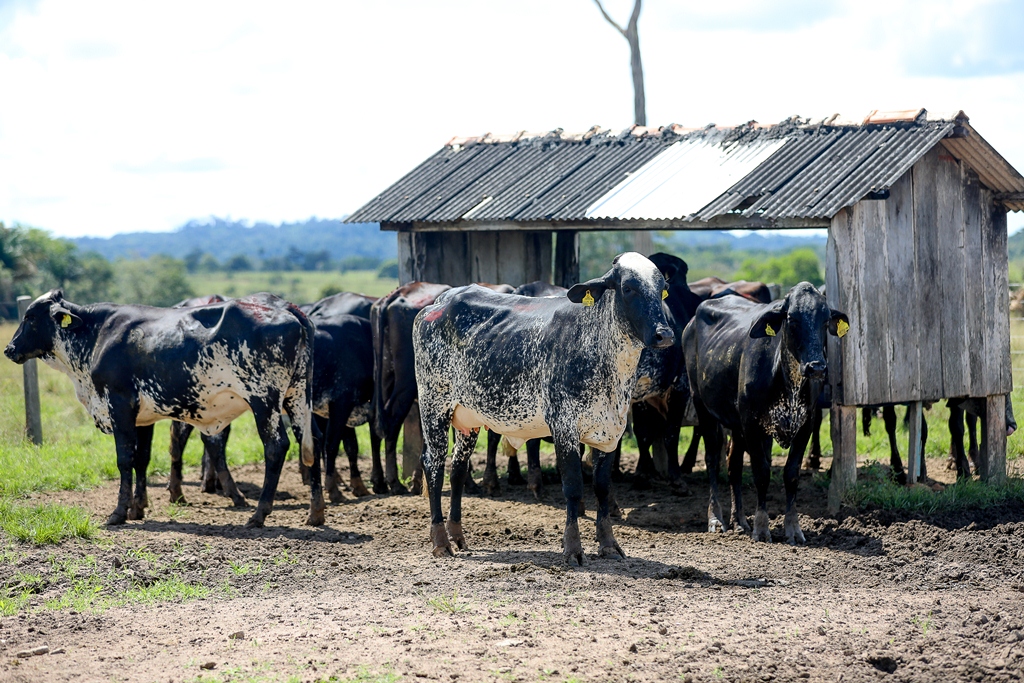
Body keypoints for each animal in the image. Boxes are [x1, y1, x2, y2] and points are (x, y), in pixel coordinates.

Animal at [4, 288, 319, 528]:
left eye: (30, 317)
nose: (9, 349)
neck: (95, 334)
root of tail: (288, 308)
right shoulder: (142, 416)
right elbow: (141, 459)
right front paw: (137, 507)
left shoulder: (119, 405)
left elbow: (124, 460)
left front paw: (119, 513)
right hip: (297, 397)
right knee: (311, 441)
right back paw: (316, 513)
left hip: (264, 400)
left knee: (276, 447)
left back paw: (258, 514)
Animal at [411, 253, 675, 565]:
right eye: (628, 288)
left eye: (662, 289)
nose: (664, 334)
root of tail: (440, 302)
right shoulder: (564, 427)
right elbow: (573, 488)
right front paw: (573, 548)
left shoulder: (611, 432)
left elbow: (602, 488)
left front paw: (609, 545)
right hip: (434, 405)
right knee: (434, 465)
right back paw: (441, 541)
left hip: (468, 417)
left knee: (458, 470)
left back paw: (458, 536)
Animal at [688, 282, 847, 544]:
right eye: (792, 319)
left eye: (825, 320)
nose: (816, 367)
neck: (788, 383)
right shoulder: (752, 425)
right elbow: (761, 472)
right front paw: (761, 528)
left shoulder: (806, 425)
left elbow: (791, 474)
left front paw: (793, 529)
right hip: (702, 406)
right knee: (712, 459)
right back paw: (716, 518)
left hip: (736, 424)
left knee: (733, 465)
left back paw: (740, 521)